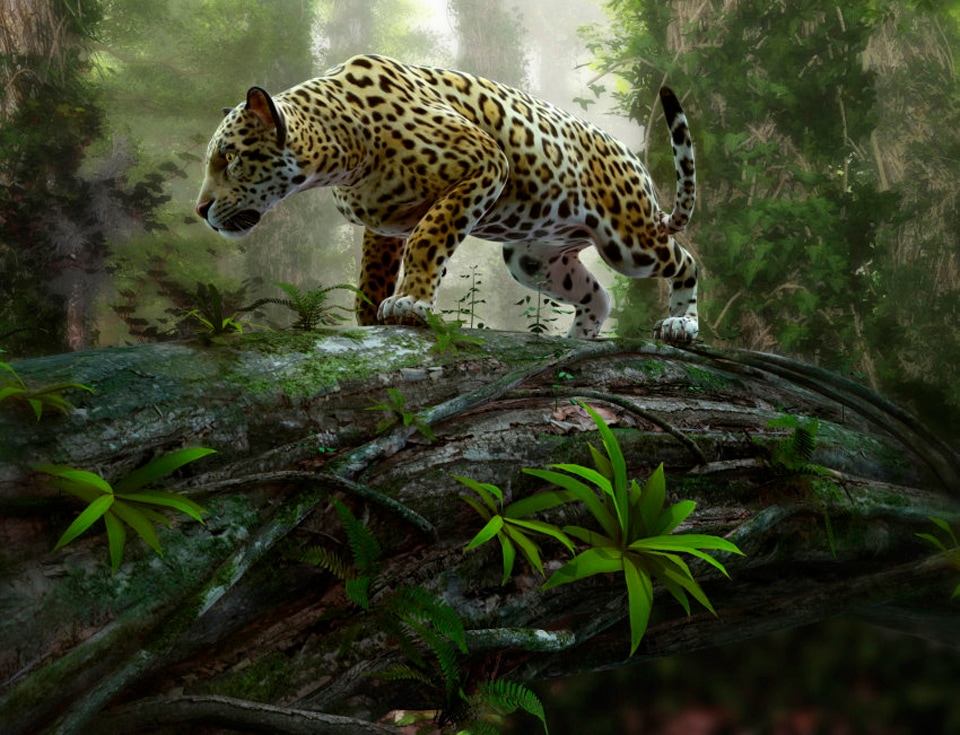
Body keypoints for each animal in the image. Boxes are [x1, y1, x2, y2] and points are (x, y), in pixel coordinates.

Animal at [196, 54, 698, 342]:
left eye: (230, 157)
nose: (200, 210)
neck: (342, 147)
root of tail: (631, 158)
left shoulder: (485, 163)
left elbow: (429, 238)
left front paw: (410, 305)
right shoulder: (384, 222)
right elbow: (372, 275)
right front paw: (371, 319)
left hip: (628, 242)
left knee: (687, 261)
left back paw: (681, 324)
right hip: (532, 259)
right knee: (599, 296)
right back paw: (574, 340)